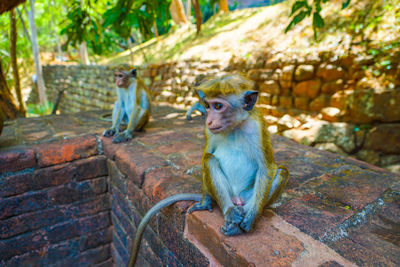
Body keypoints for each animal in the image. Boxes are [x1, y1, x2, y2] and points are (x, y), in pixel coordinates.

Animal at [128, 74, 288, 267]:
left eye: (218, 106)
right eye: (207, 105)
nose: (209, 120)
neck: (234, 127)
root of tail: (237, 200)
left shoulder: (257, 127)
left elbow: (267, 167)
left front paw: (251, 217)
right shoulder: (208, 131)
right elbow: (207, 155)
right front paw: (205, 202)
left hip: (248, 196)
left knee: (281, 172)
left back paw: (241, 220)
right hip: (226, 194)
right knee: (210, 160)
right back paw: (229, 213)